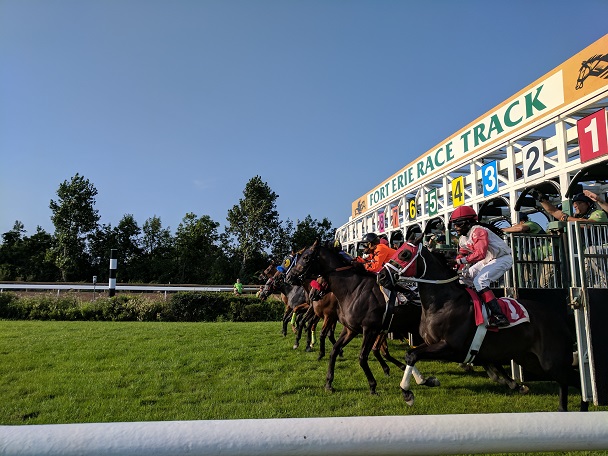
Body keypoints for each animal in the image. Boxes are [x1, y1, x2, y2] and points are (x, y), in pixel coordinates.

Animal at [284, 242, 436, 396]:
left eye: (306, 257)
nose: (289, 277)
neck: (353, 290)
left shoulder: (370, 329)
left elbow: (363, 357)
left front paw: (373, 385)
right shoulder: (351, 329)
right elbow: (334, 350)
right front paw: (329, 382)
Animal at [378, 240, 588, 412]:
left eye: (404, 254)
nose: (381, 276)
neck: (443, 302)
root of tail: (559, 318)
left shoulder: (451, 347)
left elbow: (413, 355)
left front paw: (408, 393)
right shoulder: (431, 343)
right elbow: (410, 354)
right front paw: (425, 381)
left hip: (550, 361)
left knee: (574, 379)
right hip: (532, 361)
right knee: (565, 381)